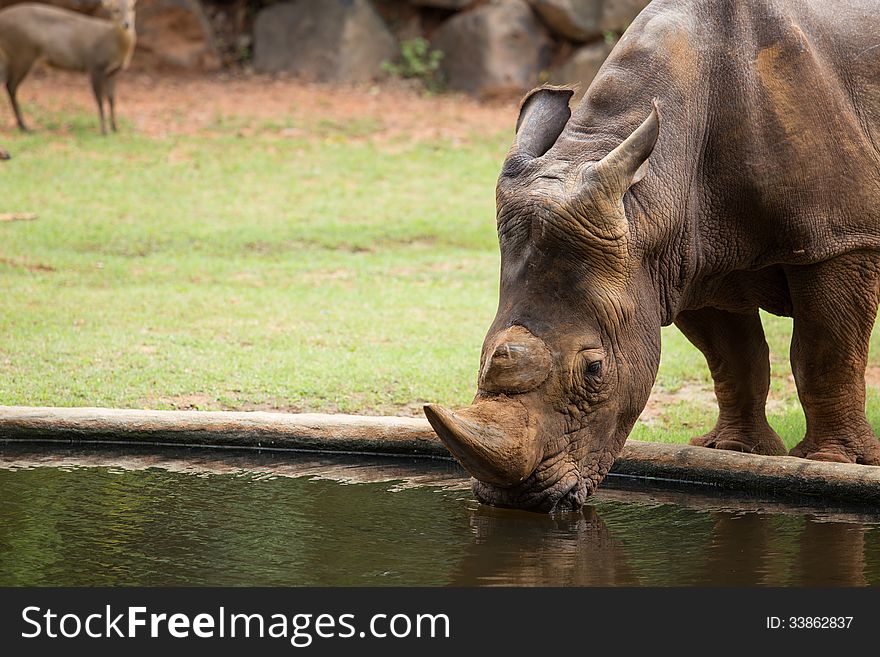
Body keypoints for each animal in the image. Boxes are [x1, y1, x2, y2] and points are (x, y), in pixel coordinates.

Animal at [0, 0, 136, 135]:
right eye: (115, 10)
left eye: (131, 8)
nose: (126, 24)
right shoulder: (95, 66)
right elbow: (100, 100)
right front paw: (104, 130)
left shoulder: (113, 72)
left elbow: (112, 100)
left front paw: (115, 128)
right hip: (23, 53)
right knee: (10, 86)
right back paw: (25, 127)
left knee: (9, 85)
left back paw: (22, 126)